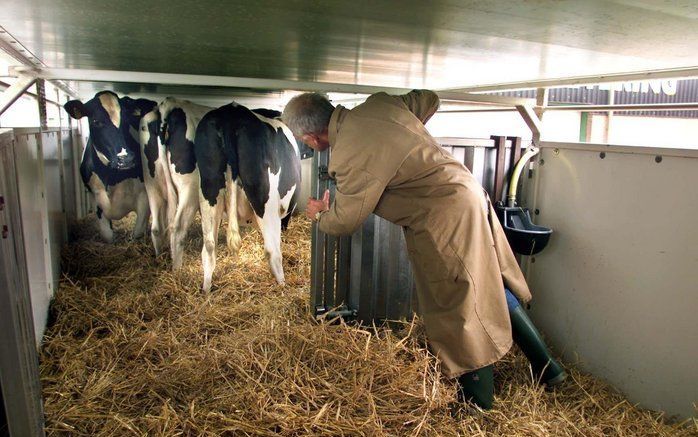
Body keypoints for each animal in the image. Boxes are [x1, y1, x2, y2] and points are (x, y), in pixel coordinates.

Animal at [64, 92, 155, 242]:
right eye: (96, 121)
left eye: (126, 120)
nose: (126, 159)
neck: (113, 178)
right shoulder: (96, 198)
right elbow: (107, 235)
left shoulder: (144, 196)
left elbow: (137, 232)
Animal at [193, 103, 300, 290]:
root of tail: (231, 113)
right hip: (265, 199)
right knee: (272, 249)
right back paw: (282, 286)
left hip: (209, 187)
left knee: (209, 247)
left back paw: (206, 290)